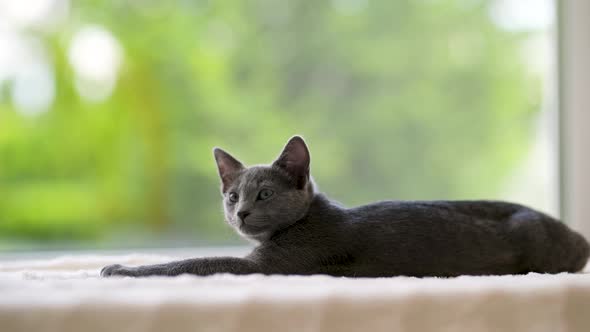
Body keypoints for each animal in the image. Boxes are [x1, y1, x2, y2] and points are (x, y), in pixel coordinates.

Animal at [103, 135, 590, 278]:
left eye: (264, 195)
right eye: (231, 195)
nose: (239, 212)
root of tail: (578, 238)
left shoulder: (271, 265)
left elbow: (196, 261)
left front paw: (121, 269)